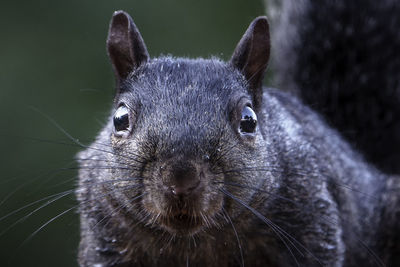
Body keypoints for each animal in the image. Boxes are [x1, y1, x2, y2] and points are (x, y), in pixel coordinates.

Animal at [76, 8, 400, 267]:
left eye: (249, 121)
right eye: (120, 118)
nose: (180, 178)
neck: (192, 241)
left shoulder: (313, 218)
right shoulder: (105, 234)